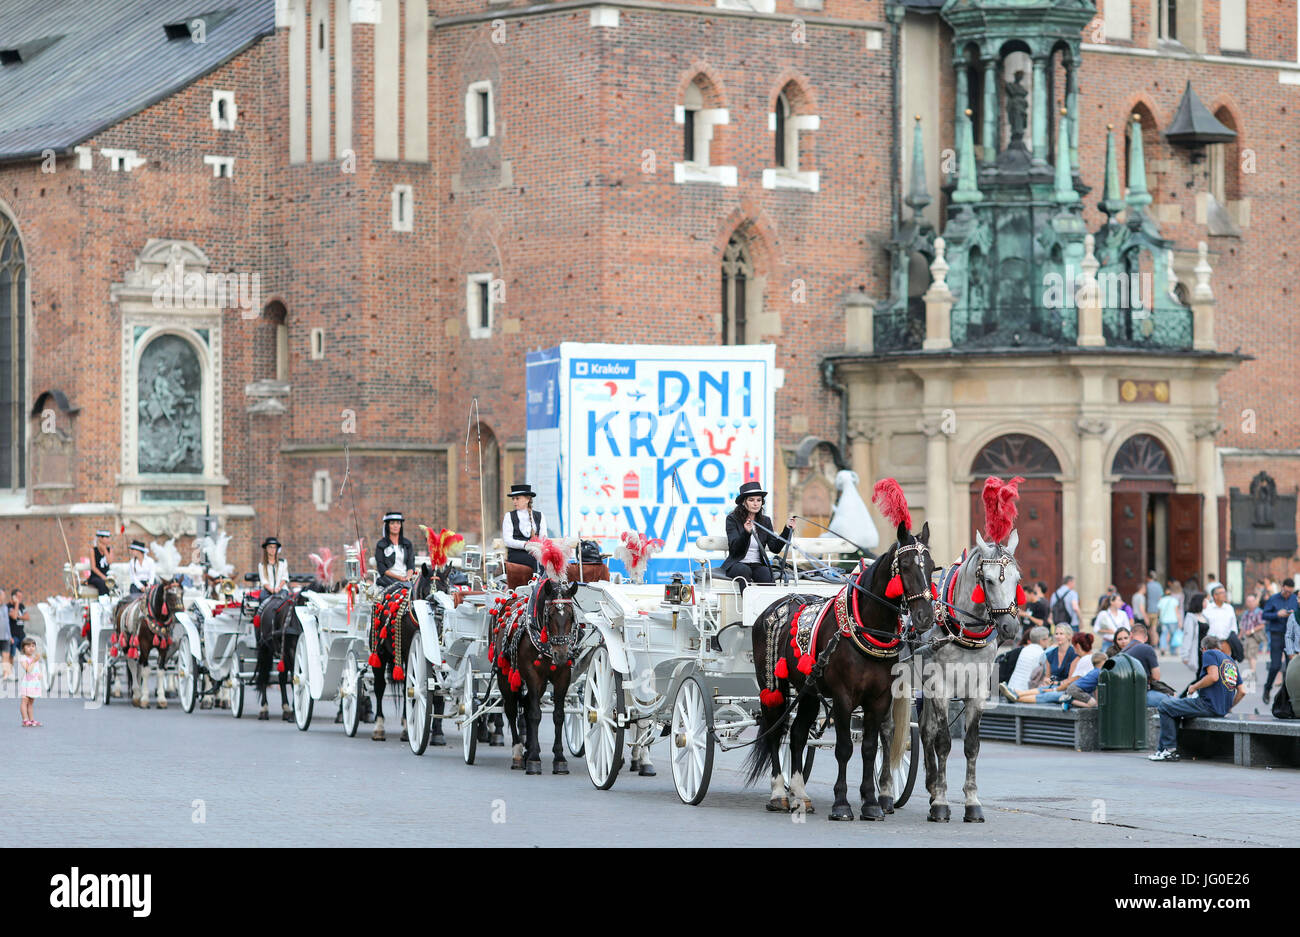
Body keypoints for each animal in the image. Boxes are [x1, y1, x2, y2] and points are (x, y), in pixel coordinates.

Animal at [743, 519, 935, 821]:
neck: (868, 628)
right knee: (775, 730)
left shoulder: (879, 698)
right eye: (904, 566)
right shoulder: (844, 697)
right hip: (771, 684)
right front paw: (842, 804)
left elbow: (869, 748)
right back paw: (778, 795)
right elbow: (844, 748)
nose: (925, 617)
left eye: (932, 566)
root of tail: (779, 602)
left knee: (797, 734)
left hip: (808, 691)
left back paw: (800, 794)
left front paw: (871, 803)